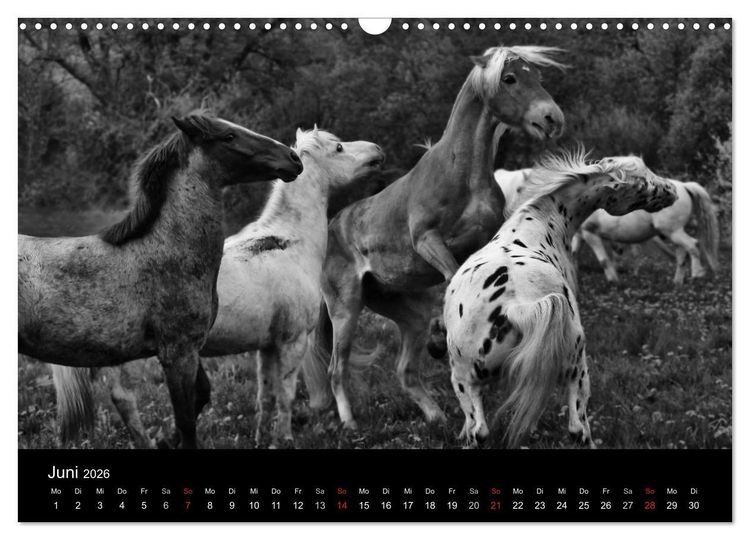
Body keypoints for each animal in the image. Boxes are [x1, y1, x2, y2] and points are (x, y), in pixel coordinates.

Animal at [20, 113, 303, 449]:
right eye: (229, 137)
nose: (293, 159)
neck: (165, 251)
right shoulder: (177, 354)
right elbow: (186, 422)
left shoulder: (191, 349)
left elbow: (201, 397)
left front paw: (165, 441)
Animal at [51, 128, 384, 448]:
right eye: (338, 148)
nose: (377, 151)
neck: (289, 242)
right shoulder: (292, 341)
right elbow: (286, 396)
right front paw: (284, 439)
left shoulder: (267, 346)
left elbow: (265, 396)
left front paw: (261, 439)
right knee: (124, 398)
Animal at [304, 45, 566, 430]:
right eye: (509, 78)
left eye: (538, 75)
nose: (552, 119)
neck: (462, 174)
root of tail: (333, 228)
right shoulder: (428, 240)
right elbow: (452, 276)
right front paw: (443, 336)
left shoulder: (482, 244)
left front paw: (444, 338)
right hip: (345, 309)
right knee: (336, 368)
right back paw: (350, 423)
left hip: (397, 307)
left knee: (404, 369)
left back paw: (435, 414)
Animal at [443, 152, 677, 448]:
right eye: (642, 181)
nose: (673, 190)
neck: (534, 228)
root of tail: (514, 305)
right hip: (573, 372)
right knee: (577, 430)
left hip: (472, 381)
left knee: (482, 431)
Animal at [571, 158, 719, 285]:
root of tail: (683, 185)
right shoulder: (579, 235)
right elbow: (573, 253)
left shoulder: (590, 233)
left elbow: (604, 261)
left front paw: (613, 280)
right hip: (675, 233)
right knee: (682, 254)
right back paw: (677, 282)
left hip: (672, 231)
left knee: (692, 246)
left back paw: (696, 274)